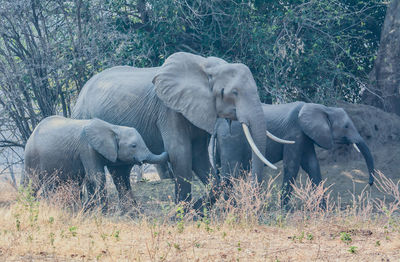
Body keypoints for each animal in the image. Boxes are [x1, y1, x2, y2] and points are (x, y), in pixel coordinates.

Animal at [23, 115, 168, 210]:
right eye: (133, 146)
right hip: (33, 158)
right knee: (37, 184)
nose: (167, 151)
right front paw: (104, 210)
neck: (113, 128)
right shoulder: (87, 148)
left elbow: (120, 176)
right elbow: (97, 176)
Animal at [72, 51, 276, 207]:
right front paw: (182, 213)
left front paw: (197, 210)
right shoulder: (168, 110)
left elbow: (199, 156)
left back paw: (131, 212)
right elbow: (181, 153)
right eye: (233, 93)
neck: (206, 68)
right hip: (83, 118)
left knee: (120, 170)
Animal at [212, 101, 376, 206]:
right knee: (230, 173)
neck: (323, 108)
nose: (370, 183)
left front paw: (323, 209)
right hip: (231, 140)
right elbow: (292, 166)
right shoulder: (295, 132)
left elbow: (312, 165)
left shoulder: (306, 135)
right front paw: (284, 209)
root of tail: (217, 126)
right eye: (346, 126)